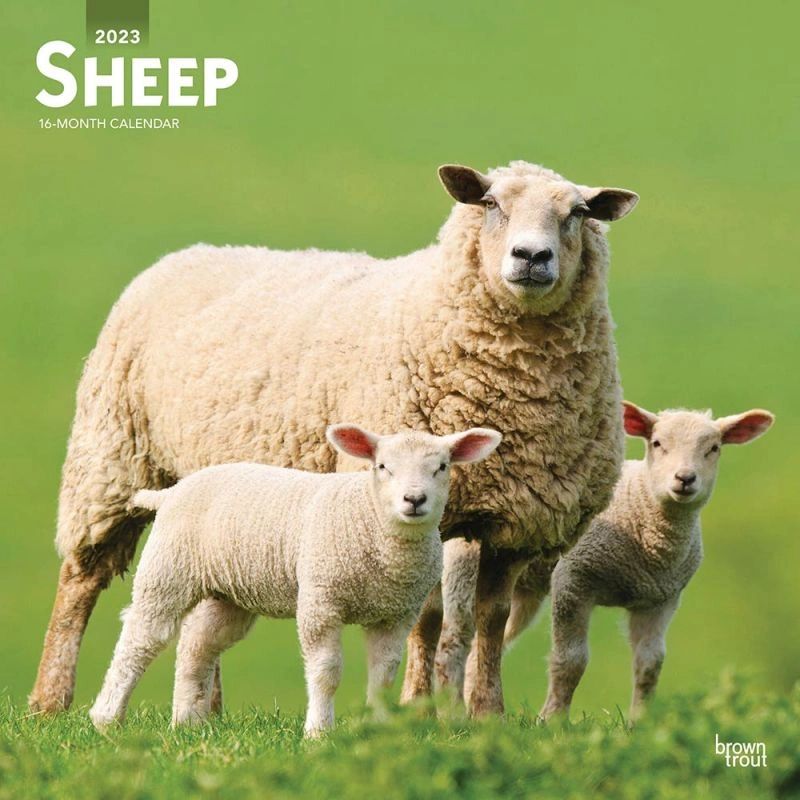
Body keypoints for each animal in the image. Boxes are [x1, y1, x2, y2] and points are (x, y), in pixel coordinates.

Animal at [89, 425, 501, 736]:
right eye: (382, 466)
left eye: (442, 467)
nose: (414, 500)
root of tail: (170, 492)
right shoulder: (320, 601)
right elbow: (327, 672)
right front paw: (318, 732)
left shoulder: (396, 614)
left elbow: (383, 674)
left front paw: (379, 728)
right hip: (168, 571)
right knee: (140, 639)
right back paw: (106, 718)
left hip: (228, 595)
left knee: (198, 646)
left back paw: (187, 723)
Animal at [534, 402, 775, 721]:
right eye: (657, 443)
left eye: (713, 448)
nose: (685, 478)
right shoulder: (572, 580)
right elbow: (570, 660)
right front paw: (552, 720)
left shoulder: (660, 599)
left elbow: (650, 665)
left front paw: (640, 722)